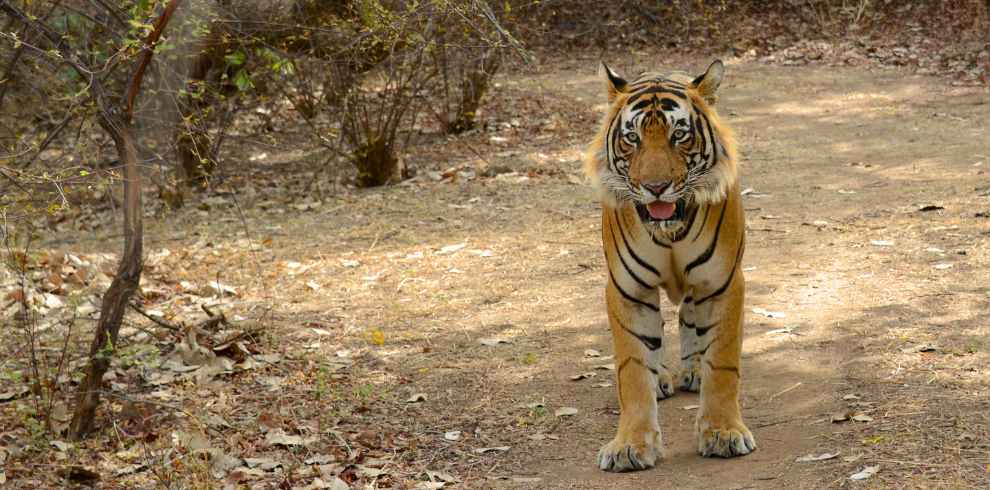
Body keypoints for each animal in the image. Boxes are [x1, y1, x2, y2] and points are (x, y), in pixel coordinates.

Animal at [584, 59, 756, 472]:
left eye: (679, 135)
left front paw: (723, 433)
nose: (656, 186)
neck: (670, 232)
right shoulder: (627, 290)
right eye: (632, 138)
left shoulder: (723, 282)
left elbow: (723, 362)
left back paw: (693, 370)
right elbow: (632, 368)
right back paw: (662, 376)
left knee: (692, 319)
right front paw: (630, 445)